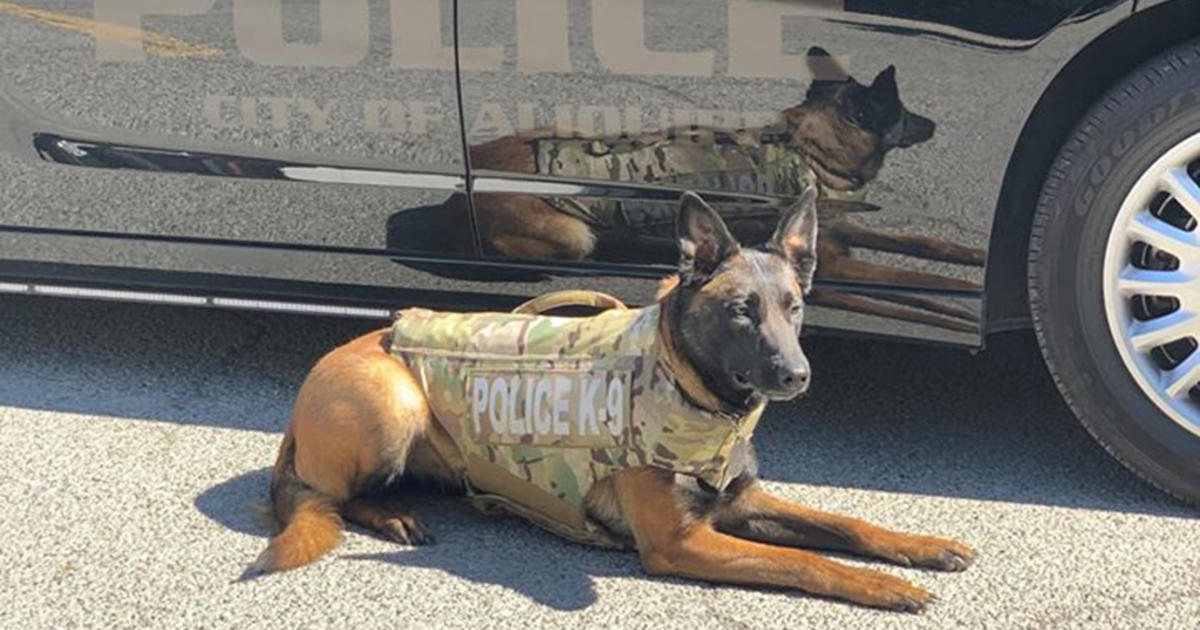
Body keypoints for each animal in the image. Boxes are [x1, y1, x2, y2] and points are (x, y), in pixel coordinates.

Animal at [255, 190, 974, 609]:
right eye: (742, 311)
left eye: (794, 307)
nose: (797, 375)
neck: (694, 393)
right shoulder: (683, 543)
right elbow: (806, 560)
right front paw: (884, 585)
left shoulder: (742, 504)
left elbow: (847, 524)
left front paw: (921, 546)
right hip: (393, 398)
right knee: (332, 497)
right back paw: (391, 515)